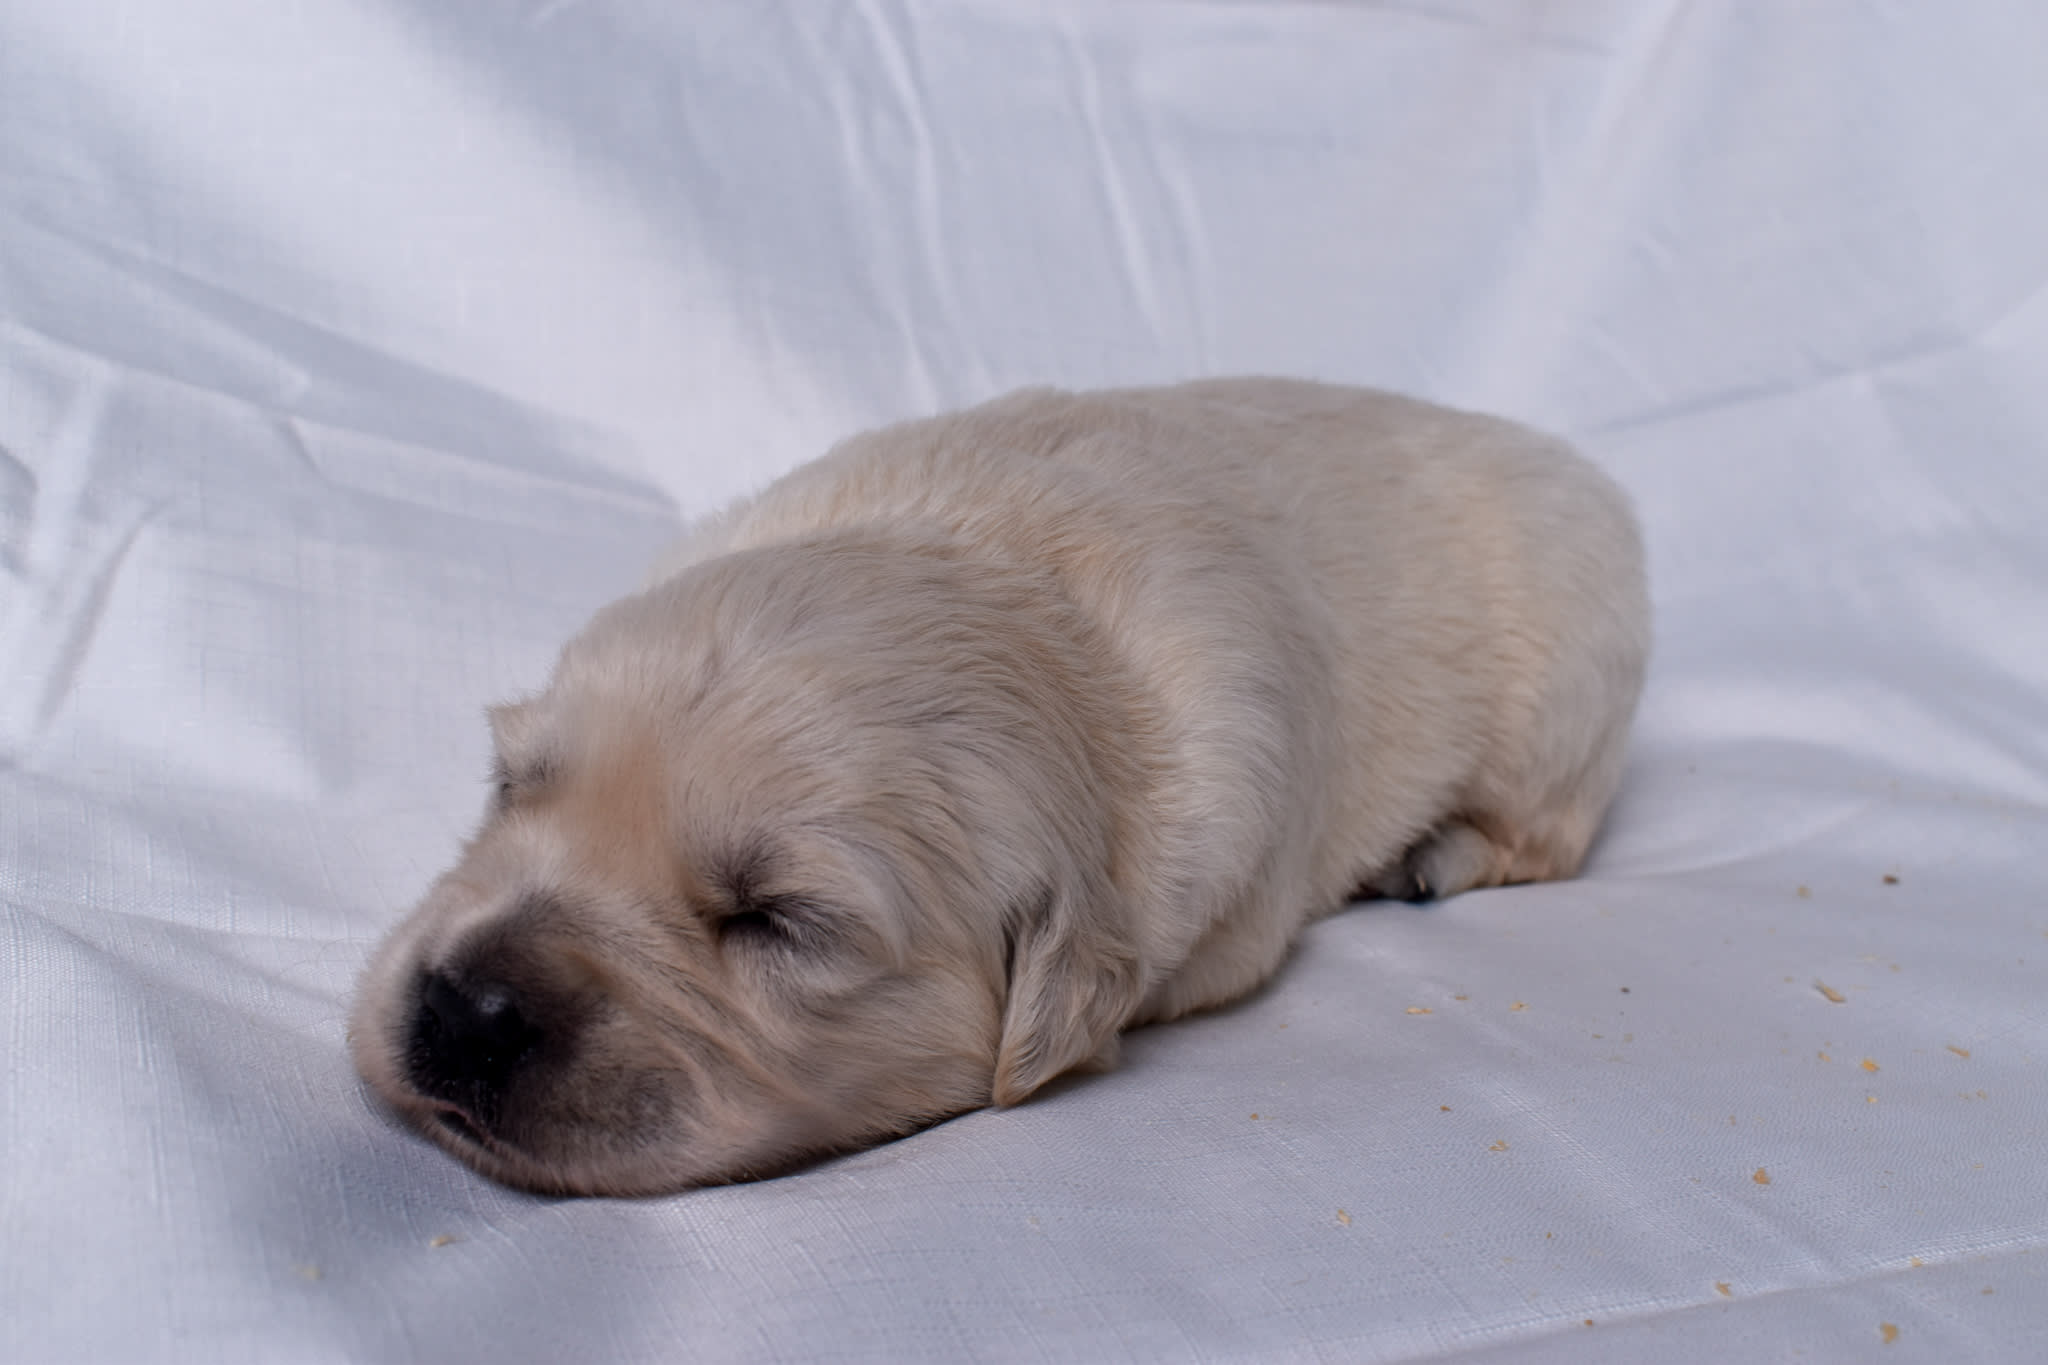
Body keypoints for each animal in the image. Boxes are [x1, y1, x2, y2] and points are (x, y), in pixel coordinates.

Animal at [348, 378, 1646, 1186]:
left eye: (778, 922)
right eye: (510, 787)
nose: (465, 1009)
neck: (1002, 571)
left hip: (1568, 690)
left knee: (1551, 829)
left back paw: (1437, 854)